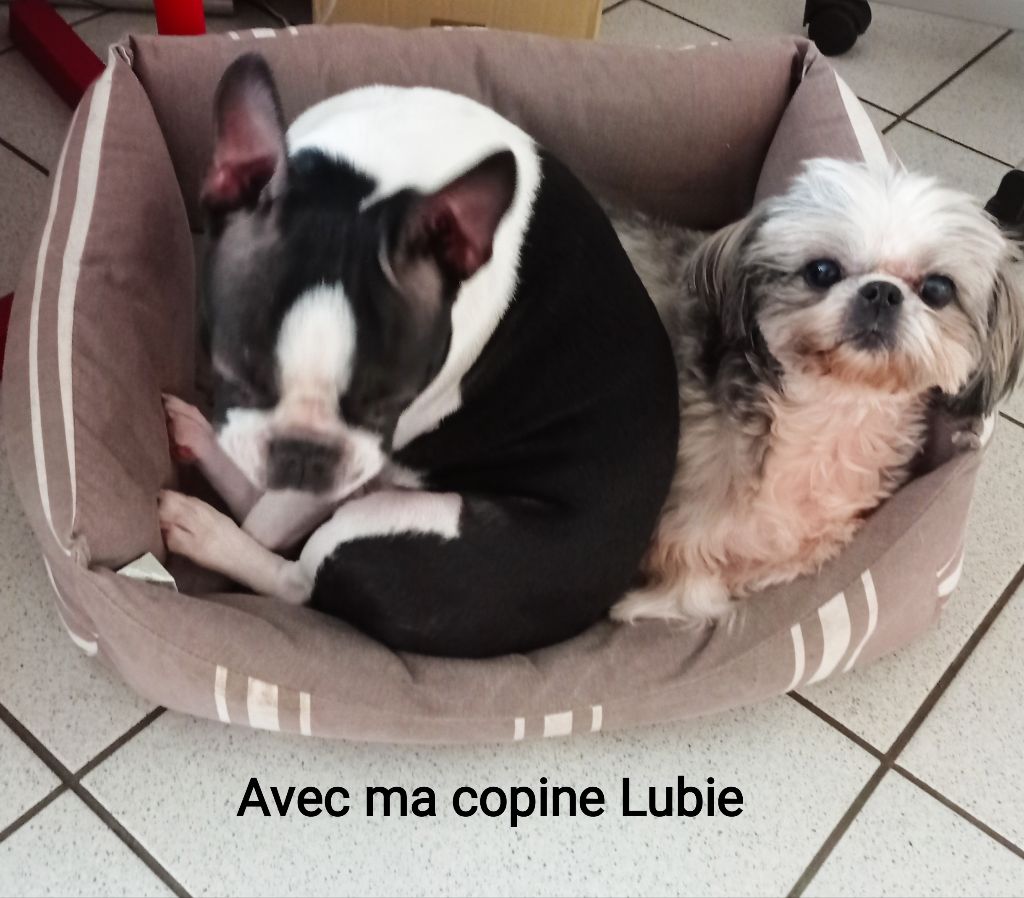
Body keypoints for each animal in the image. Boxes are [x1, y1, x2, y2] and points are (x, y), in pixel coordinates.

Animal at [158, 54, 679, 657]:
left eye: (392, 404)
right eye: (233, 375)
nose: (304, 455)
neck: (376, 181)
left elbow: (270, 520)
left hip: (397, 527)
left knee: (296, 576)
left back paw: (207, 528)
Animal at [609, 158, 1024, 624]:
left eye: (938, 288)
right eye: (822, 271)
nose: (882, 291)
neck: (832, 413)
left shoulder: (807, 545)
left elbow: (716, 585)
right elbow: (695, 584)